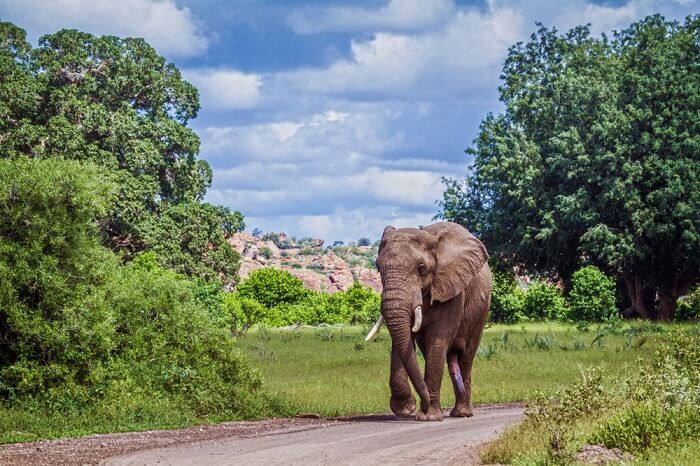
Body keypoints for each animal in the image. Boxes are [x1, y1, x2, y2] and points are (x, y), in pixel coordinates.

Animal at [366, 222, 492, 422]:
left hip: (481, 311)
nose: (420, 407)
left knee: (466, 356)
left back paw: (462, 413)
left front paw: (429, 417)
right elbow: (403, 342)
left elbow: (438, 342)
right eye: (378, 267)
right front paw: (405, 409)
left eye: (422, 268)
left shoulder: (451, 289)